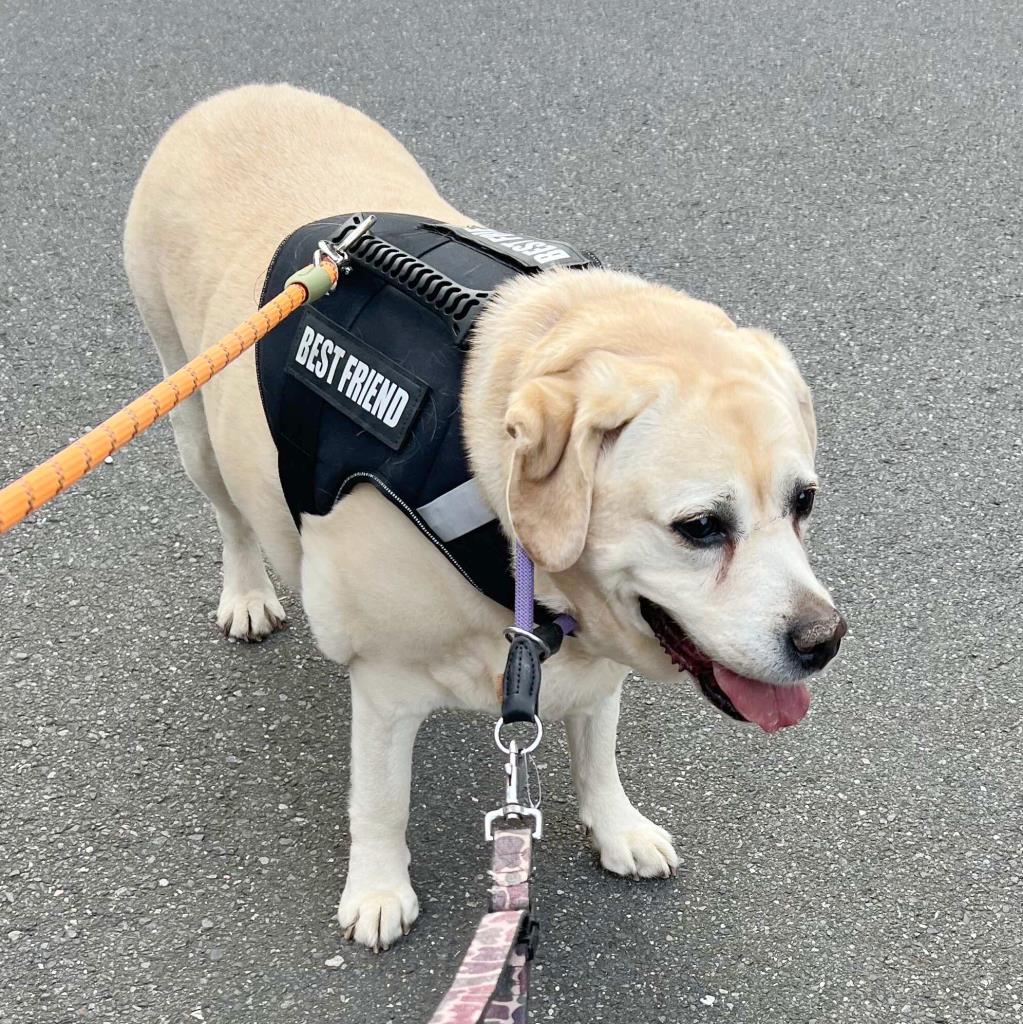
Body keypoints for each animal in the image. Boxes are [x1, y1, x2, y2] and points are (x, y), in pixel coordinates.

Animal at [123, 83, 845, 951]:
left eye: (803, 502)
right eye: (700, 527)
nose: (823, 642)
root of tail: (239, 94)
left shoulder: (592, 666)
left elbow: (597, 748)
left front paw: (616, 827)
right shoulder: (383, 683)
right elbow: (380, 801)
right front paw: (376, 888)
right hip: (191, 411)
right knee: (231, 516)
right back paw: (248, 595)